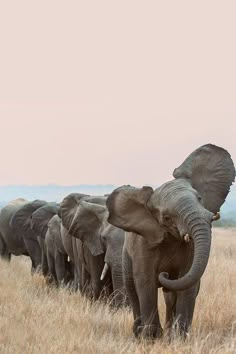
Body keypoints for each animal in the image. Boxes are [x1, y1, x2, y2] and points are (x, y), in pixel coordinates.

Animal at [106, 145, 235, 340]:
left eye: (199, 198)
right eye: (167, 218)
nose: (165, 274)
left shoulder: (191, 248)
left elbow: (187, 282)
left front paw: (180, 338)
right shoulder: (143, 243)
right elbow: (146, 281)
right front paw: (151, 338)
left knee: (172, 294)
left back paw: (168, 333)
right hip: (126, 255)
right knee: (133, 288)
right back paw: (138, 333)